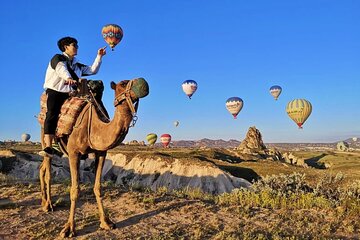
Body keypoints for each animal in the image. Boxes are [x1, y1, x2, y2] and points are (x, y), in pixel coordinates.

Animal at [38, 78, 148, 237]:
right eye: (123, 83)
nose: (144, 83)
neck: (96, 127)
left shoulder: (101, 153)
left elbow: (97, 187)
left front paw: (106, 222)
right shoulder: (73, 153)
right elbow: (75, 189)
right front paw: (69, 228)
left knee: (41, 168)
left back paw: (43, 201)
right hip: (45, 132)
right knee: (47, 169)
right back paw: (48, 204)